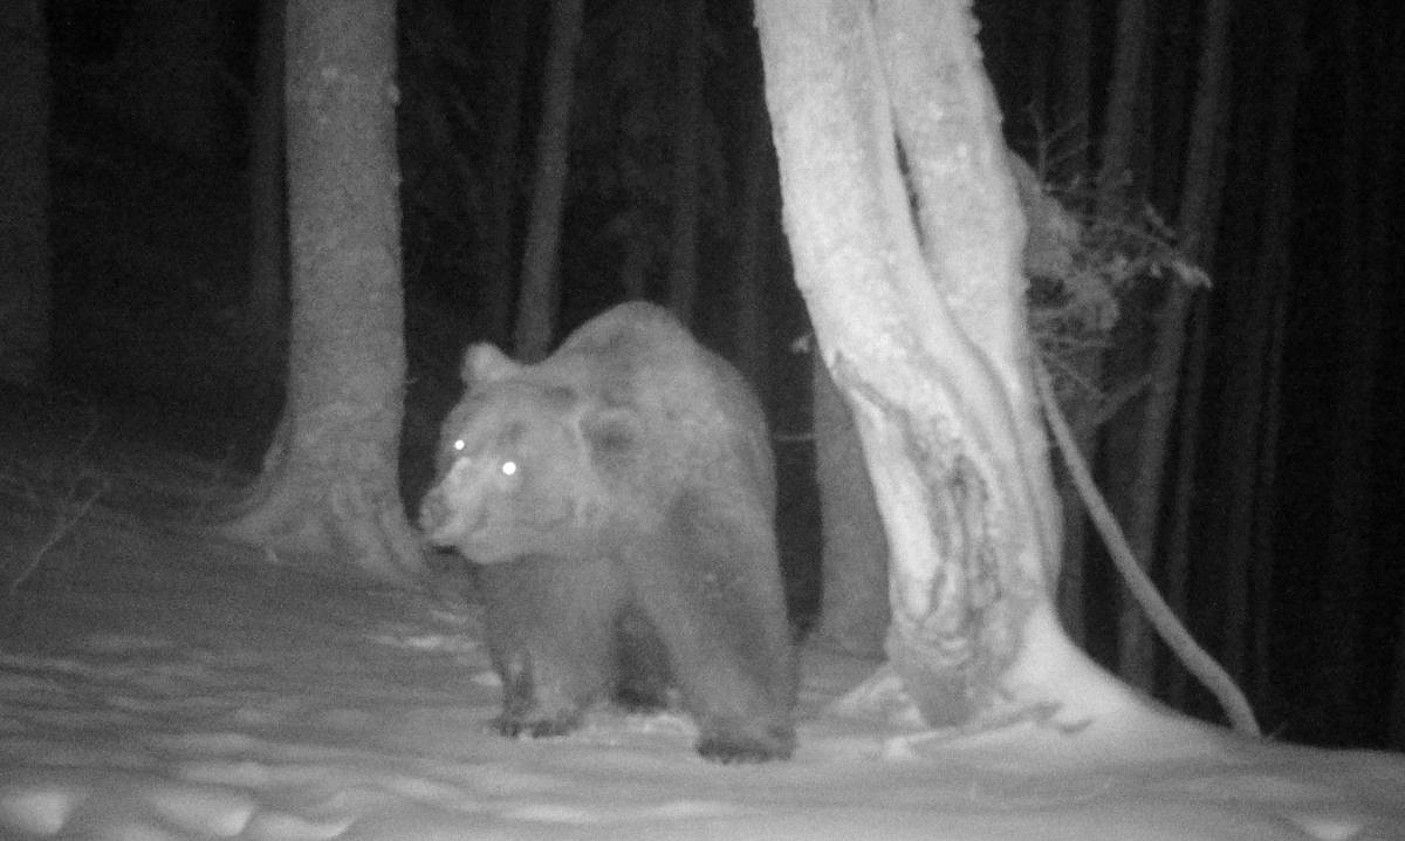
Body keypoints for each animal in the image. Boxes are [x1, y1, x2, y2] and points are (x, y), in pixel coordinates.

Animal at [415, 300, 798, 763]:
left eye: (510, 466)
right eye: (457, 443)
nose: (438, 508)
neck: (616, 515)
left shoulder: (689, 506)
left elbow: (726, 608)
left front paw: (742, 742)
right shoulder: (553, 553)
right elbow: (542, 627)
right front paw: (529, 718)